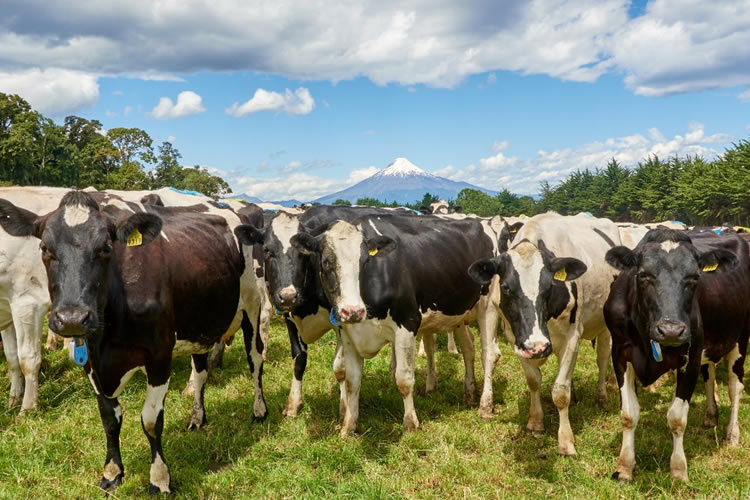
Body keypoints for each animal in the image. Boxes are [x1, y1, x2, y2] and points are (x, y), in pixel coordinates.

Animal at [0, 190, 268, 492]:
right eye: (45, 248)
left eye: (106, 247)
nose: (72, 319)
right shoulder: (92, 362)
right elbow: (109, 419)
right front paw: (112, 472)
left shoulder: (159, 355)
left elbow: (151, 420)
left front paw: (159, 479)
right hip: (199, 324)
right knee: (200, 372)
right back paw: (197, 418)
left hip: (252, 305)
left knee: (256, 359)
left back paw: (259, 410)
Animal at [290, 214, 502, 434]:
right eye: (326, 262)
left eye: (364, 261)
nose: (353, 311)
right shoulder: (349, 333)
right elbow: (352, 381)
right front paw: (348, 427)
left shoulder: (407, 324)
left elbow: (404, 379)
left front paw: (410, 424)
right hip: (460, 312)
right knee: (469, 347)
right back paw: (470, 393)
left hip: (489, 307)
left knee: (489, 353)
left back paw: (485, 406)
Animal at [470, 213, 624, 456]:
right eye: (506, 287)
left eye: (549, 286)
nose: (538, 346)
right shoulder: (517, 340)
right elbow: (534, 381)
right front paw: (535, 423)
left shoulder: (572, 337)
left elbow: (560, 391)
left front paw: (566, 441)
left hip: (604, 325)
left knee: (602, 358)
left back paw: (601, 397)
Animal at [604, 229, 750, 480]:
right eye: (643, 275)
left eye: (694, 277)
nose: (671, 330)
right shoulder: (620, 354)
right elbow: (628, 414)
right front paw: (624, 467)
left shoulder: (690, 358)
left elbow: (677, 418)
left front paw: (679, 469)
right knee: (709, 375)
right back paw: (711, 415)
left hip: (741, 338)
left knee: (734, 386)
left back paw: (732, 434)